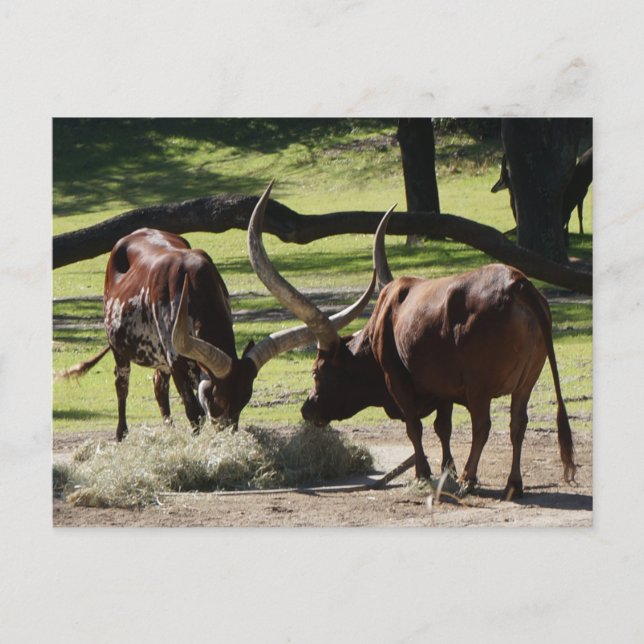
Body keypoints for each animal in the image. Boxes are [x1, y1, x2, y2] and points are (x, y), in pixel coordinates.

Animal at [59, 207, 374, 441]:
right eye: (217, 399)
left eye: (244, 400)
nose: (226, 431)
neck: (193, 288)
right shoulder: (176, 361)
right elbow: (193, 412)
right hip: (119, 348)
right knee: (121, 384)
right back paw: (121, 434)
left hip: (155, 355)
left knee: (158, 386)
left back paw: (168, 431)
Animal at [248, 188, 577, 499]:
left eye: (316, 371)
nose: (308, 408)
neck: (384, 320)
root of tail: (517, 283)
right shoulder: (444, 389)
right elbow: (443, 428)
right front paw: (446, 469)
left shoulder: (398, 381)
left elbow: (413, 427)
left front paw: (424, 473)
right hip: (526, 383)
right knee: (517, 423)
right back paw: (513, 484)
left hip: (479, 387)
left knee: (482, 426)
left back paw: (468, 478)